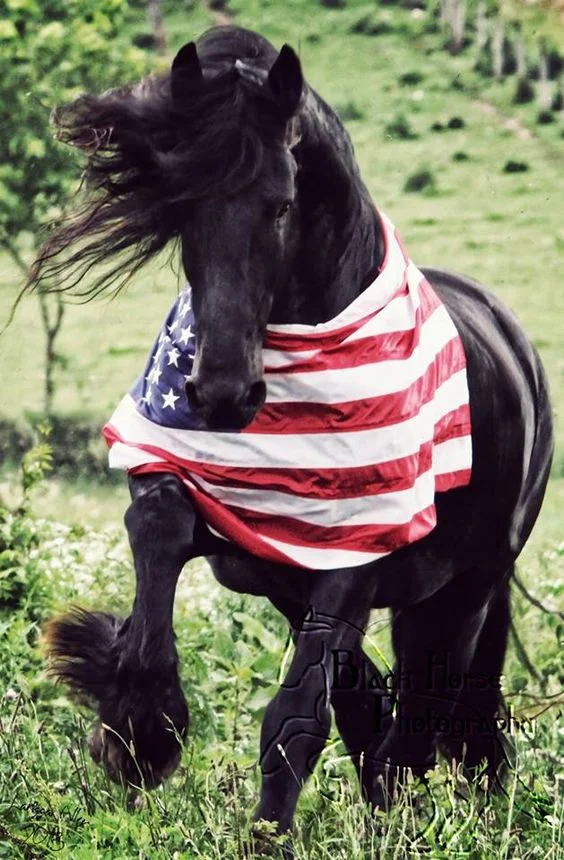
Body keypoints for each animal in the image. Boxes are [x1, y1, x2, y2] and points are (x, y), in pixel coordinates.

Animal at [34, 25, 553, 845]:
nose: (220, 392)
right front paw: (140, 732)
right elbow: (159, 526)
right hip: (313, 587)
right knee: (373, 697)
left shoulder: (356, 557)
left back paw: (405, 810)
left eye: (281, 206)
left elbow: (296, 718)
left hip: (464, 588)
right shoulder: (232, 529)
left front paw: (268, 833)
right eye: (181, 208)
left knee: (427, 701)